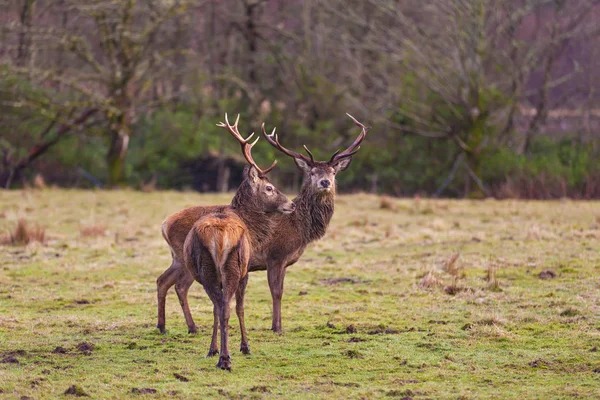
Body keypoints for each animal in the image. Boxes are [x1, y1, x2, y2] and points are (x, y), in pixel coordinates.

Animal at [157, 112, 368, 334]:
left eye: (333, 172)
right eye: (312, 173)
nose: (325, 182)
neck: (300, 229)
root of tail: (165, 224)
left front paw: (278, 325)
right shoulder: (276, 255)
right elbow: (276, 291)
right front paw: (276, 327)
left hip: (177, 257)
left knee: (163, 281)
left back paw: (163, 326)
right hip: (188, 258)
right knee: (180, 286)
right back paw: (191, 327)